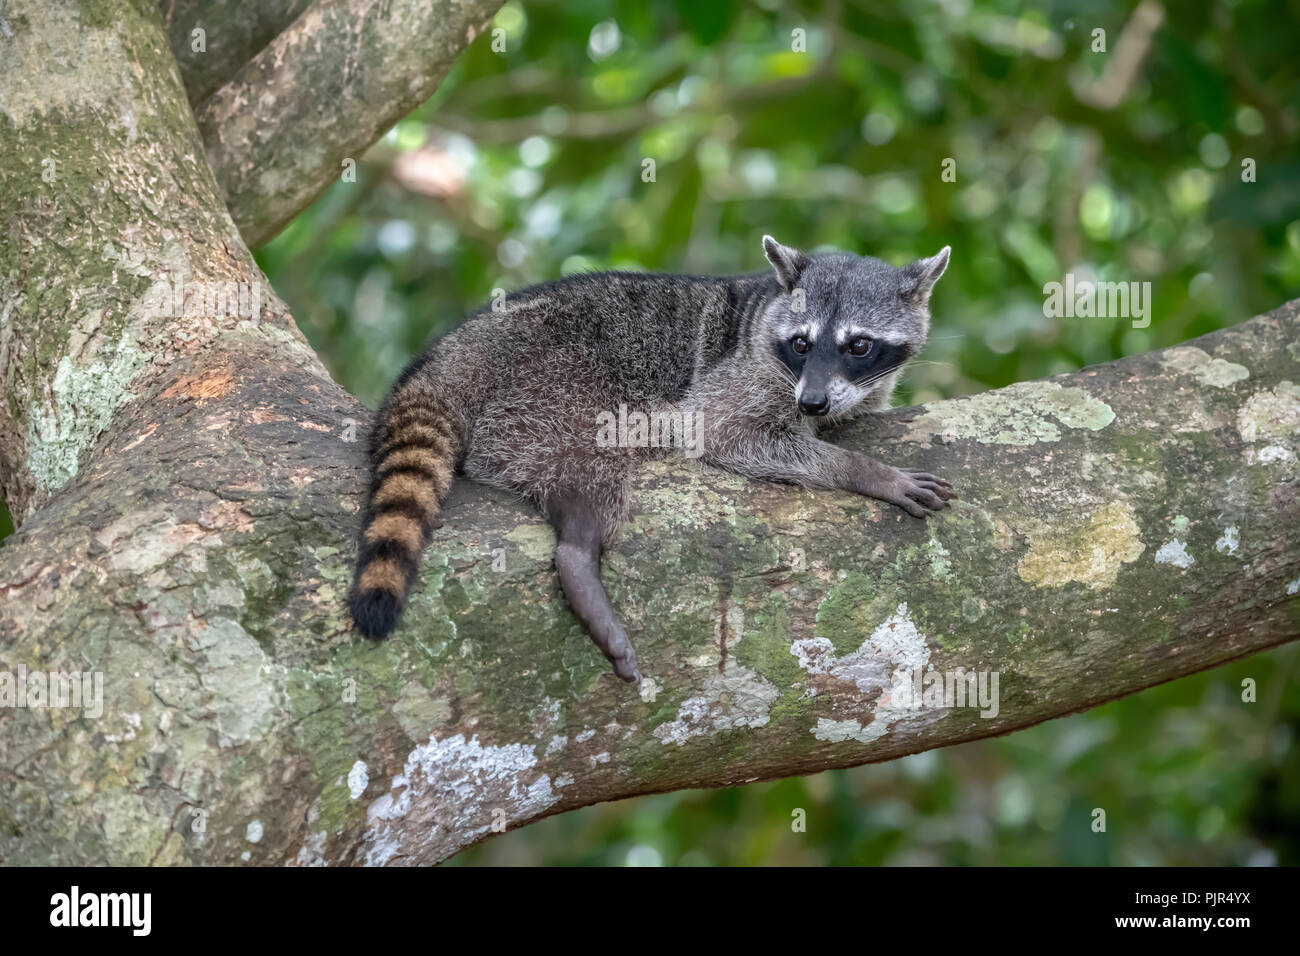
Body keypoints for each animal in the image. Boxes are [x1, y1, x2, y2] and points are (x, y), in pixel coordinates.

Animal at [345, 240, 956, 686]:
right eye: (802, 343)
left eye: (859, 345)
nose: (811, 403)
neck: (765, 309)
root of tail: (453, 353)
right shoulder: (743, 376)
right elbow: (726, 431)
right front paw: (865, 471)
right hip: (552, 392)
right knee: (590, 474)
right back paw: (579, 549)